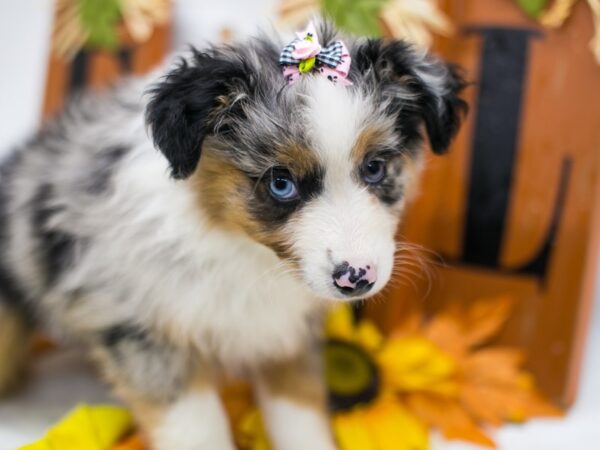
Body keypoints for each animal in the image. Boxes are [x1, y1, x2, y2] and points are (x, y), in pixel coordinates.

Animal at [0, 22, 466, 450]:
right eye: (280, 183)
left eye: (374, 167)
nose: (357, 278)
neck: (241, 249)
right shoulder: (142, 333)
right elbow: (198, 430)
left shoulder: (286, 334)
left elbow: (300, 414)